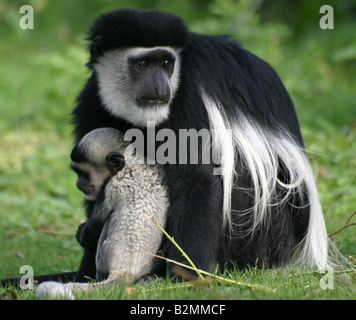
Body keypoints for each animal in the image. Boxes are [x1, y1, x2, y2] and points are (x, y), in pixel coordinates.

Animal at [36, 128, 169, 300]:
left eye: (83, 174)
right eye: (77, 172)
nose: (78, 184)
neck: (131, 163)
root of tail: (123, 272)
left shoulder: (109, 187)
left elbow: (91, 229)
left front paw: (81, 232)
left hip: (104, 256)